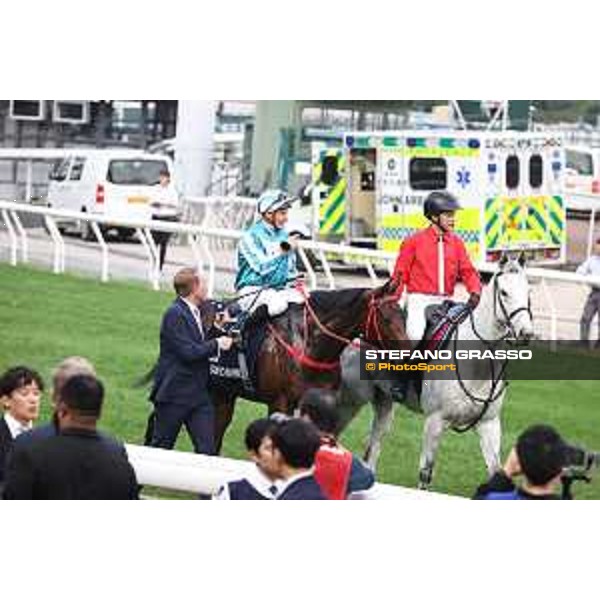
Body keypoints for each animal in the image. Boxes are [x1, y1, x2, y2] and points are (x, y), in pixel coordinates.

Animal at [338, 255, 536, 490]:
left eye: (528, 291)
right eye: (504, 293)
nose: (526, 333)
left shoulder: (489, 424)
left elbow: (495, 471)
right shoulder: (435, 422)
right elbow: (425, 473)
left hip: (384, 403)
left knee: (372, 450)